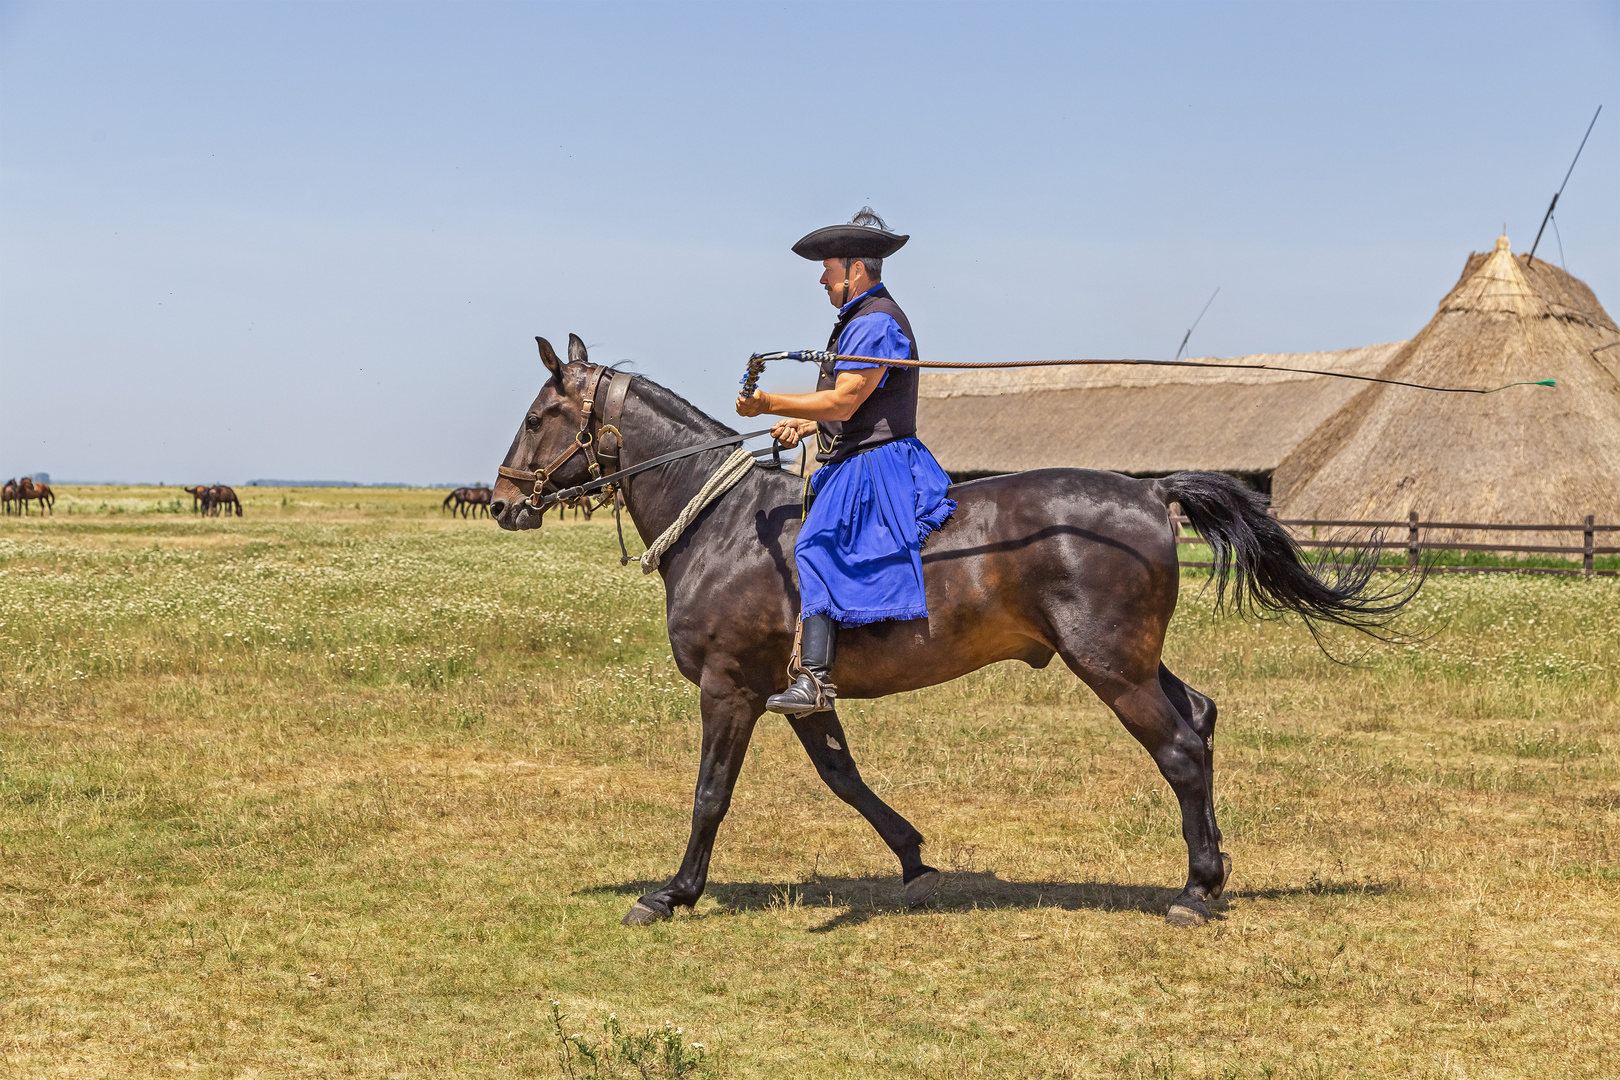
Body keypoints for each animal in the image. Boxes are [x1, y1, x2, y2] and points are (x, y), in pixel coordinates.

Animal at [486, 335, 1412, 932]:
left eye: (536, 416)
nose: (500, 503)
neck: (725, 525)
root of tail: (1151, 493)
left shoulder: (732, 689)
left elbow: (711, 794)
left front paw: (674, 893)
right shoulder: (799, 695)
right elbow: (845, 779)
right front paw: (915, 860)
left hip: (1109, 666)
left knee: (1181, 750)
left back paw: (1194, 890)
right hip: (1135, 660)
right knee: (1204, 718)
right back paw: (1210, 874)